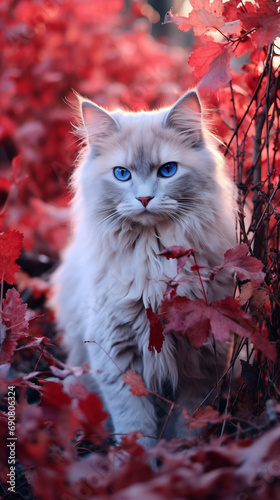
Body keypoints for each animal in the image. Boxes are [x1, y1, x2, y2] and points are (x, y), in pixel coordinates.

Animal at [52, 92, 236, 448]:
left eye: (168, 170)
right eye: (122, 174)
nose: (145, 198)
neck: (153, 257)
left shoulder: (202, 355)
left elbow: (188, 421)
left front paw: (181, 455)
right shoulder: (117, 354)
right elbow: (135, 425)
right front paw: (138, 460)